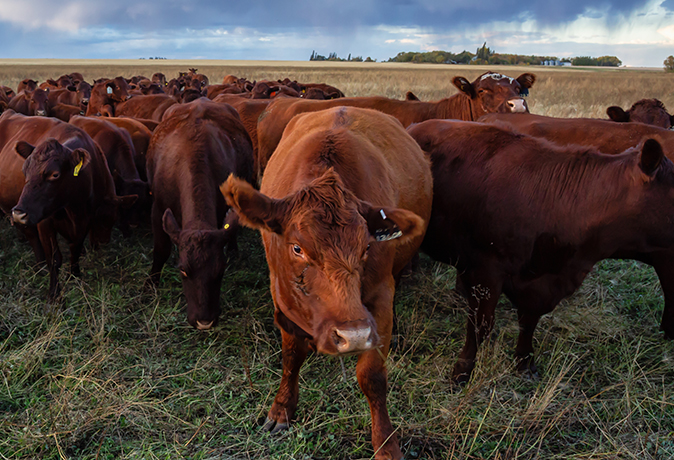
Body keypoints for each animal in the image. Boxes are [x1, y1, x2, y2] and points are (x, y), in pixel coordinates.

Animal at [146, 97, 253, 328]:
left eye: (220, 270)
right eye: (183, 270)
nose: (205, 321)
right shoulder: (157, 207)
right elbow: (160, 249)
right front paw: (151, 283)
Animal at [220, 107, 430, 460]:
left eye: (367, 247)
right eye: (297, 248)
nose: (352, 336)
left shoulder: (379, 300)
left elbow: (372, 376)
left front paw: (386, 444)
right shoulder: (282, 299)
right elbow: (291, 356)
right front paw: (281, 410)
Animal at [406, 119, 672, 384]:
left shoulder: (540, 283)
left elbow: (528, 322)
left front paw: (525, 362)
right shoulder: (487, 271)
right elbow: (480, 324)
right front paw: (462, 371)